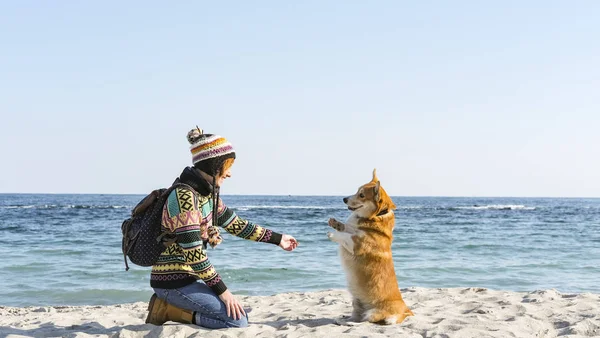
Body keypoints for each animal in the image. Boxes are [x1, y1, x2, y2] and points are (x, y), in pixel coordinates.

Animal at [328, 169, 412, 324]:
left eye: (361, 195)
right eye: (357, 191)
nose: (344, 199)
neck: (375, 216)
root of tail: (407, 310)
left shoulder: (357, 244)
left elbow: (346, 236)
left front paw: (333, 234)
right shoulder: (352, 230)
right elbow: (346, 227)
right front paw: (335, 223)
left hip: (374, 313)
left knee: (368, 320)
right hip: (356, 302)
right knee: (357, 317)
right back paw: (343, 320)